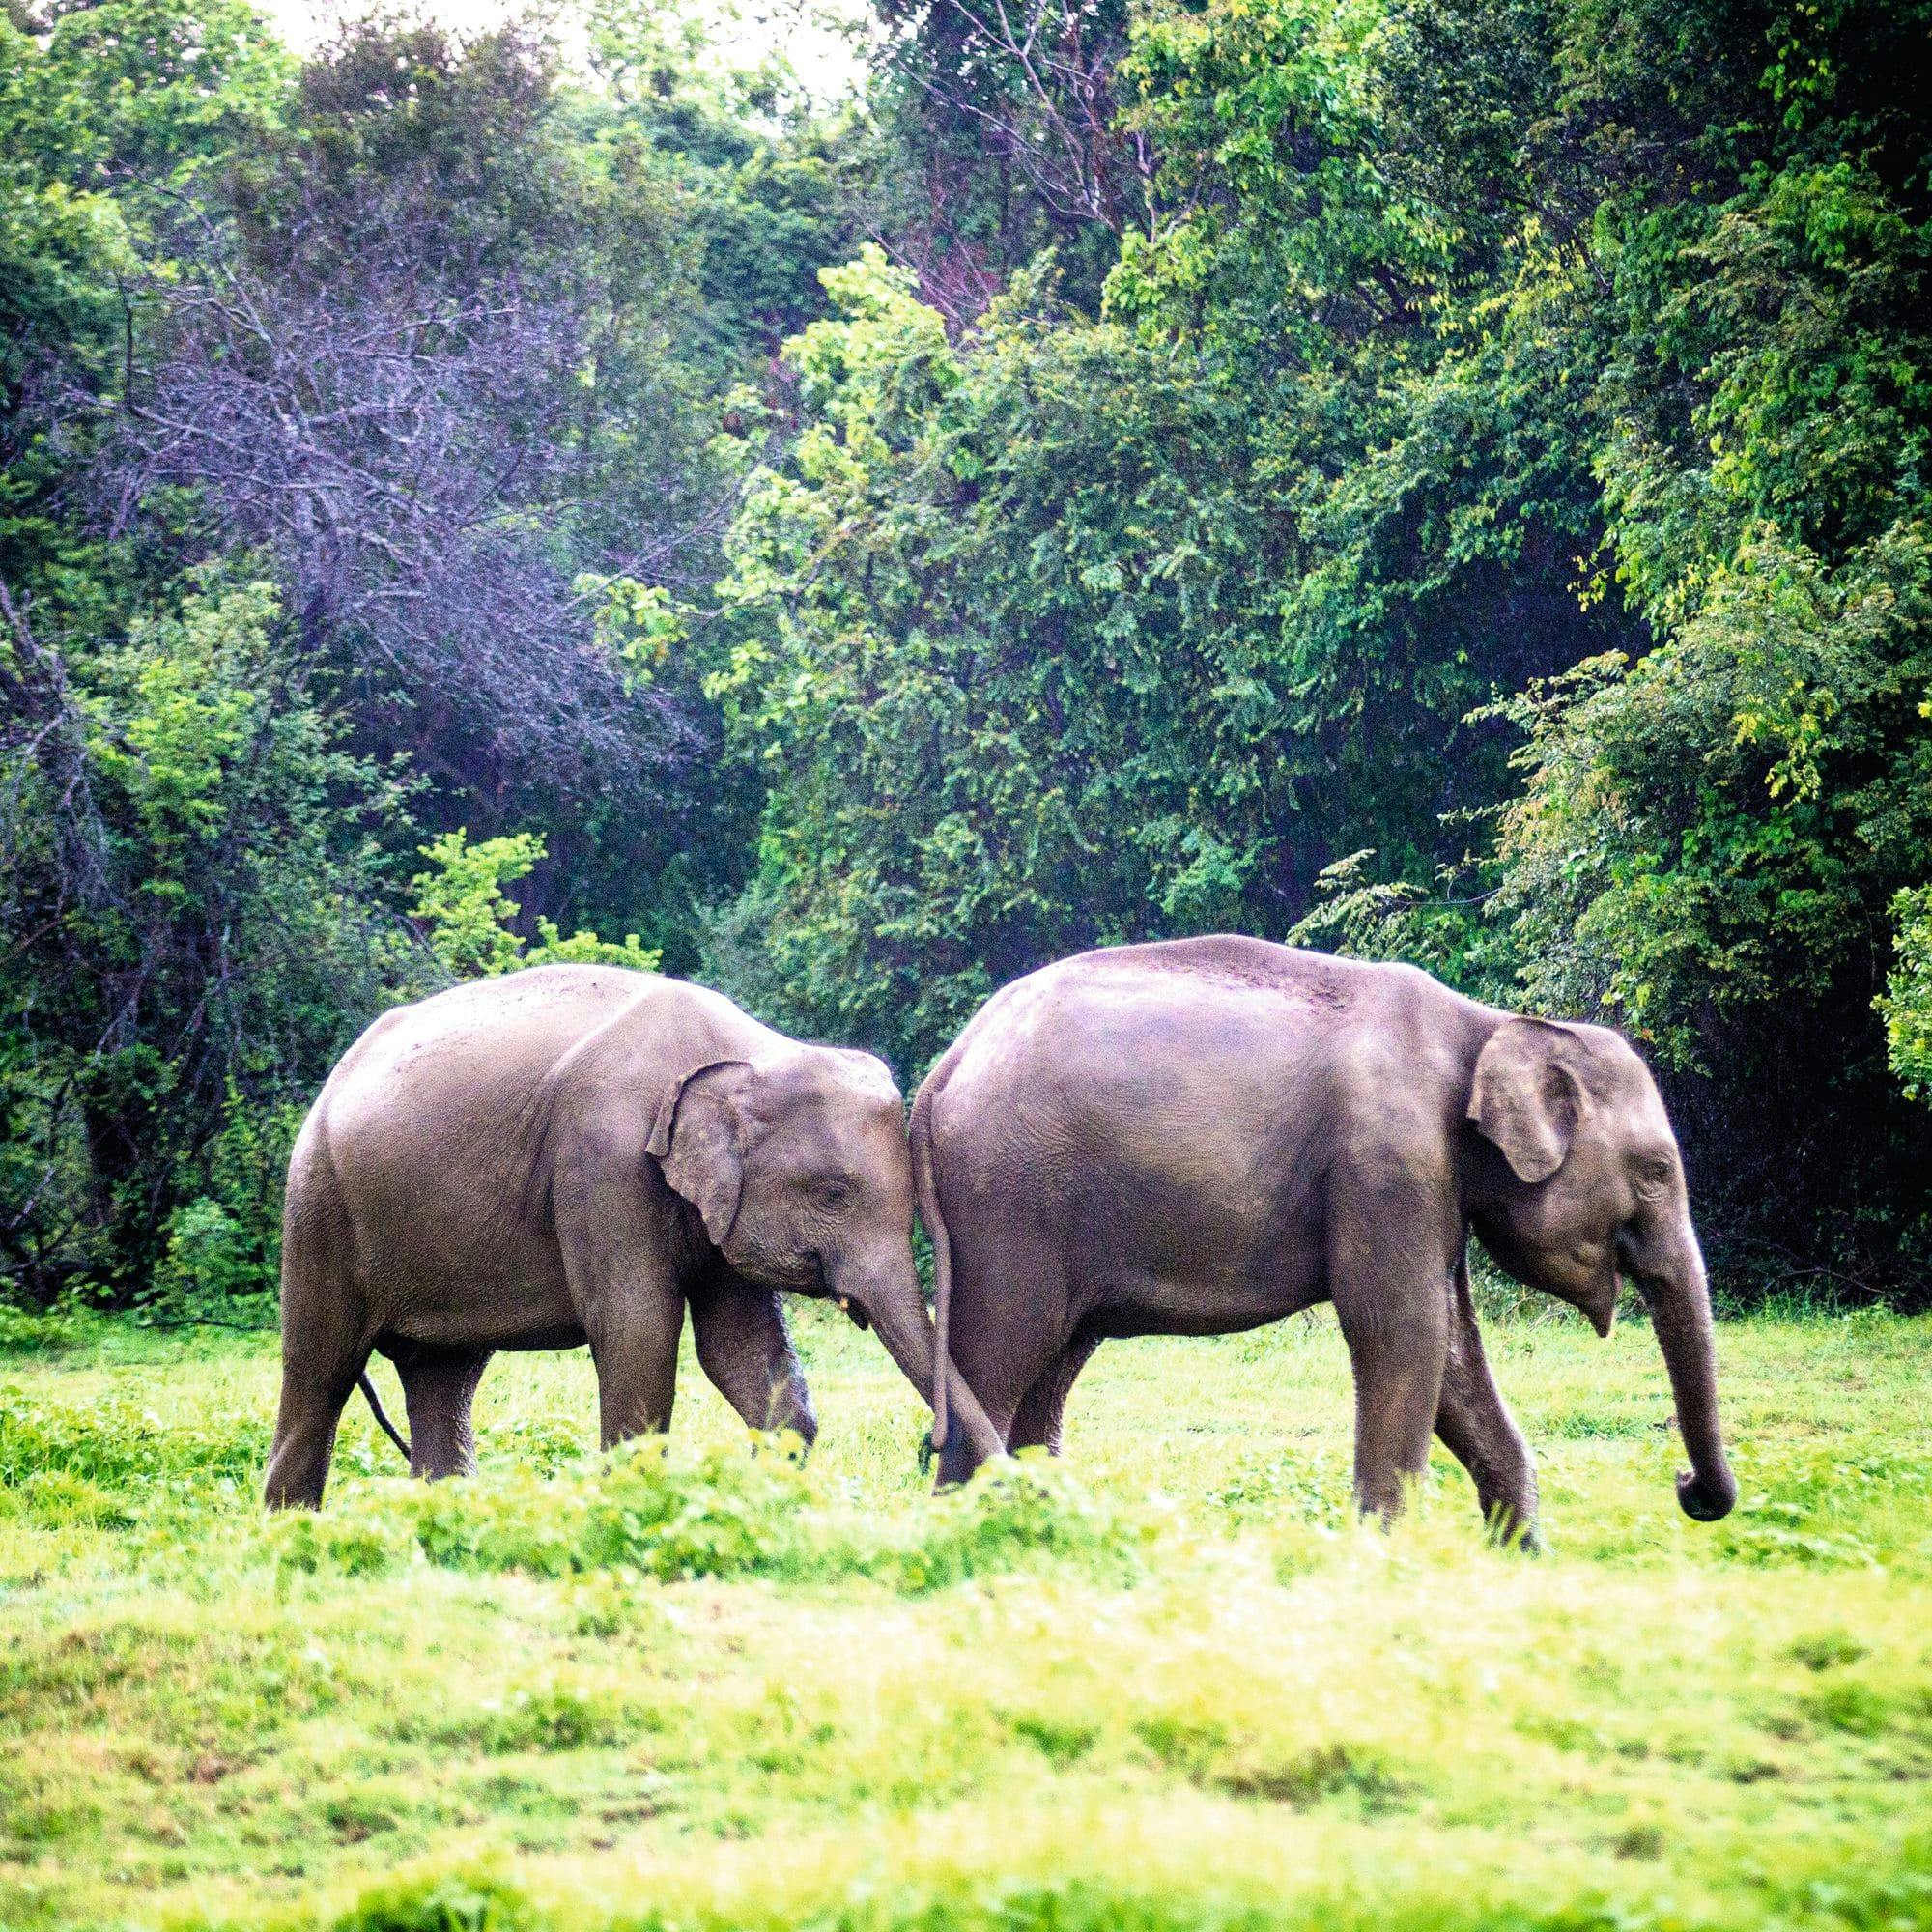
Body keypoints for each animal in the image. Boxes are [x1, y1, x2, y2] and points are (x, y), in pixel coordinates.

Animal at [265, 966, 1005, 1507]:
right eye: (834, 1194)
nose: (932, 1448)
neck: (748, 1053)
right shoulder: (605, 1161)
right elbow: (637, 1326)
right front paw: (631, 1505)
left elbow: (740, 1348)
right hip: (318, 1209)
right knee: (319, 1369)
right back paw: (292, 1529)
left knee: (444, 1376)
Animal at [912, 931, 1747, 1538]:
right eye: (1657, 1171)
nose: (1685, 1487)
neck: (1487, 1025)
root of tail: (946, 1065)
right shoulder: (1388, 1163)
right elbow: (1403, 1331)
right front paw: (1382, 1559)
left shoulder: (1431, 1183)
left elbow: (1453, 1352)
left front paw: (1519, 1560)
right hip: (1009, 1205)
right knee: (1000, 1357)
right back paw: (963, 1534)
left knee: (1052, 1367)